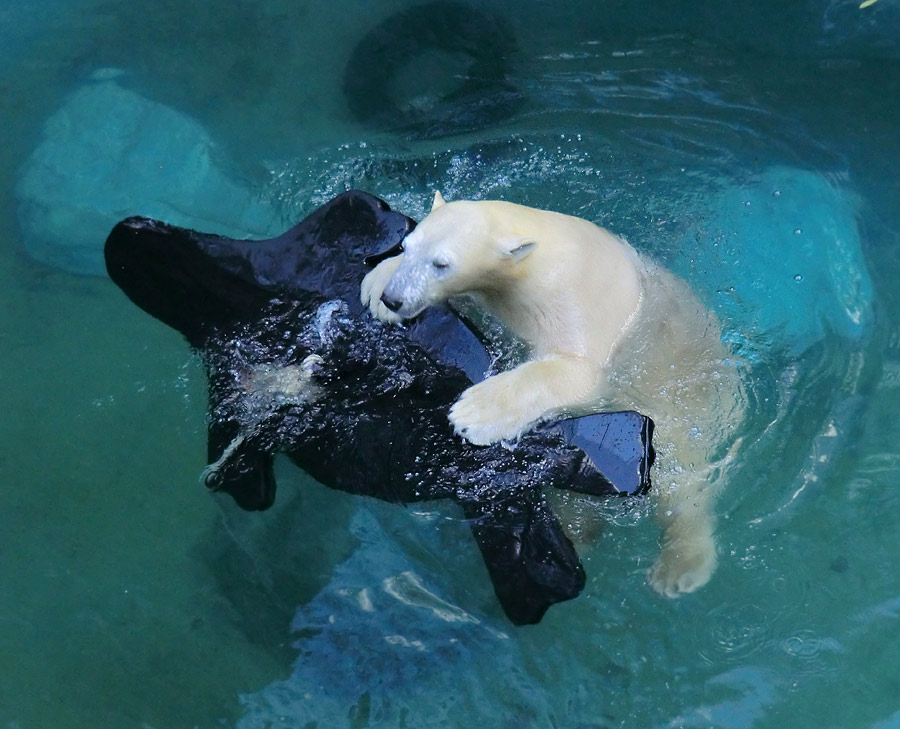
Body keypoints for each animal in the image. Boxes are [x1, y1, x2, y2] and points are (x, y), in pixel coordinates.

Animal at [358, 193, 744, 596]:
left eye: (441, 263)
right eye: (407, 246)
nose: (394, 299)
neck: (538, 255)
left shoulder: (574, 303)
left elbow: (578, 373)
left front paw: (474, 413)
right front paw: (376, 283)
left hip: (688, 411)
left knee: (682, 484)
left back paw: (679, 568)